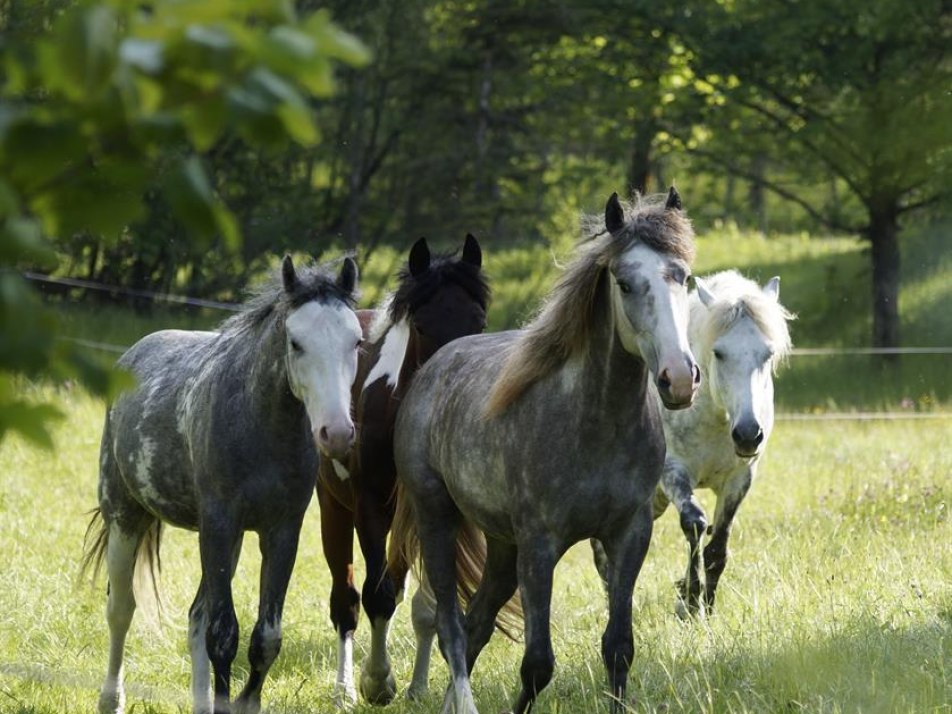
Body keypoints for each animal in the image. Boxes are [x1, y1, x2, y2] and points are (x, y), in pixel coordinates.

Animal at [316, 235, 490, 708]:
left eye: (480, 322)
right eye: (424, 327)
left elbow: (429, 606)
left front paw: (416, 686)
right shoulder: (369, 508)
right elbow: (375, 596)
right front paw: (377, 682)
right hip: (334, 508)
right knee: (346, 601)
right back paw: (344, 690)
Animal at [600, 270, 792, 616]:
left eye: (767, 354)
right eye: (719, 352)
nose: (748, 434)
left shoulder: (739, 479)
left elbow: (718, 546)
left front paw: (709, 606)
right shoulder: (674, 472)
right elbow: (694, 524)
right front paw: (689, 601)